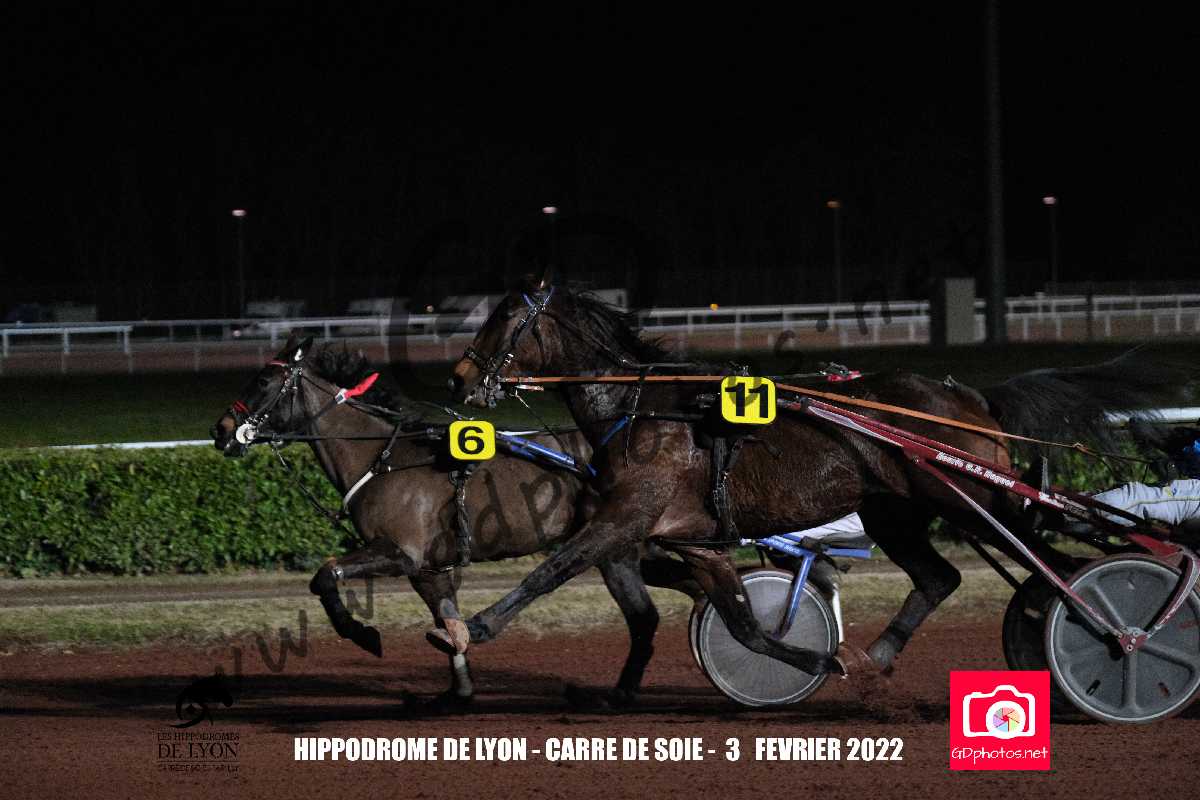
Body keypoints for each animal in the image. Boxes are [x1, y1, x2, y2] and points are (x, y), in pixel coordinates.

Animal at [210, 336, 700, 707]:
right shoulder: (428, 569)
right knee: (667, 600)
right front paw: (458, 690)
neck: (381, 458)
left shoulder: (401, 553)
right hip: (624, 550)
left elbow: (325, 574)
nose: (221, 430)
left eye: (263, 379)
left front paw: (363, 634)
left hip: (613, 546)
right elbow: (447, 619)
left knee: (653, 611)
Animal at [437, 278, 1194, 687]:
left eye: (504, 318)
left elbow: (552, 569)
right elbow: (745, 625)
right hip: (898, 512)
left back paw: (1122, 633)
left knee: (1053, 563)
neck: (641, 407)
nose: (461, 376)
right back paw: (879, 655)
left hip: (969, 498)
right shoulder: (696, 542)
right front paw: (815, 661)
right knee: (946, 577)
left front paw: (468, 628)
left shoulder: (626, 517)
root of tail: (972, 397)